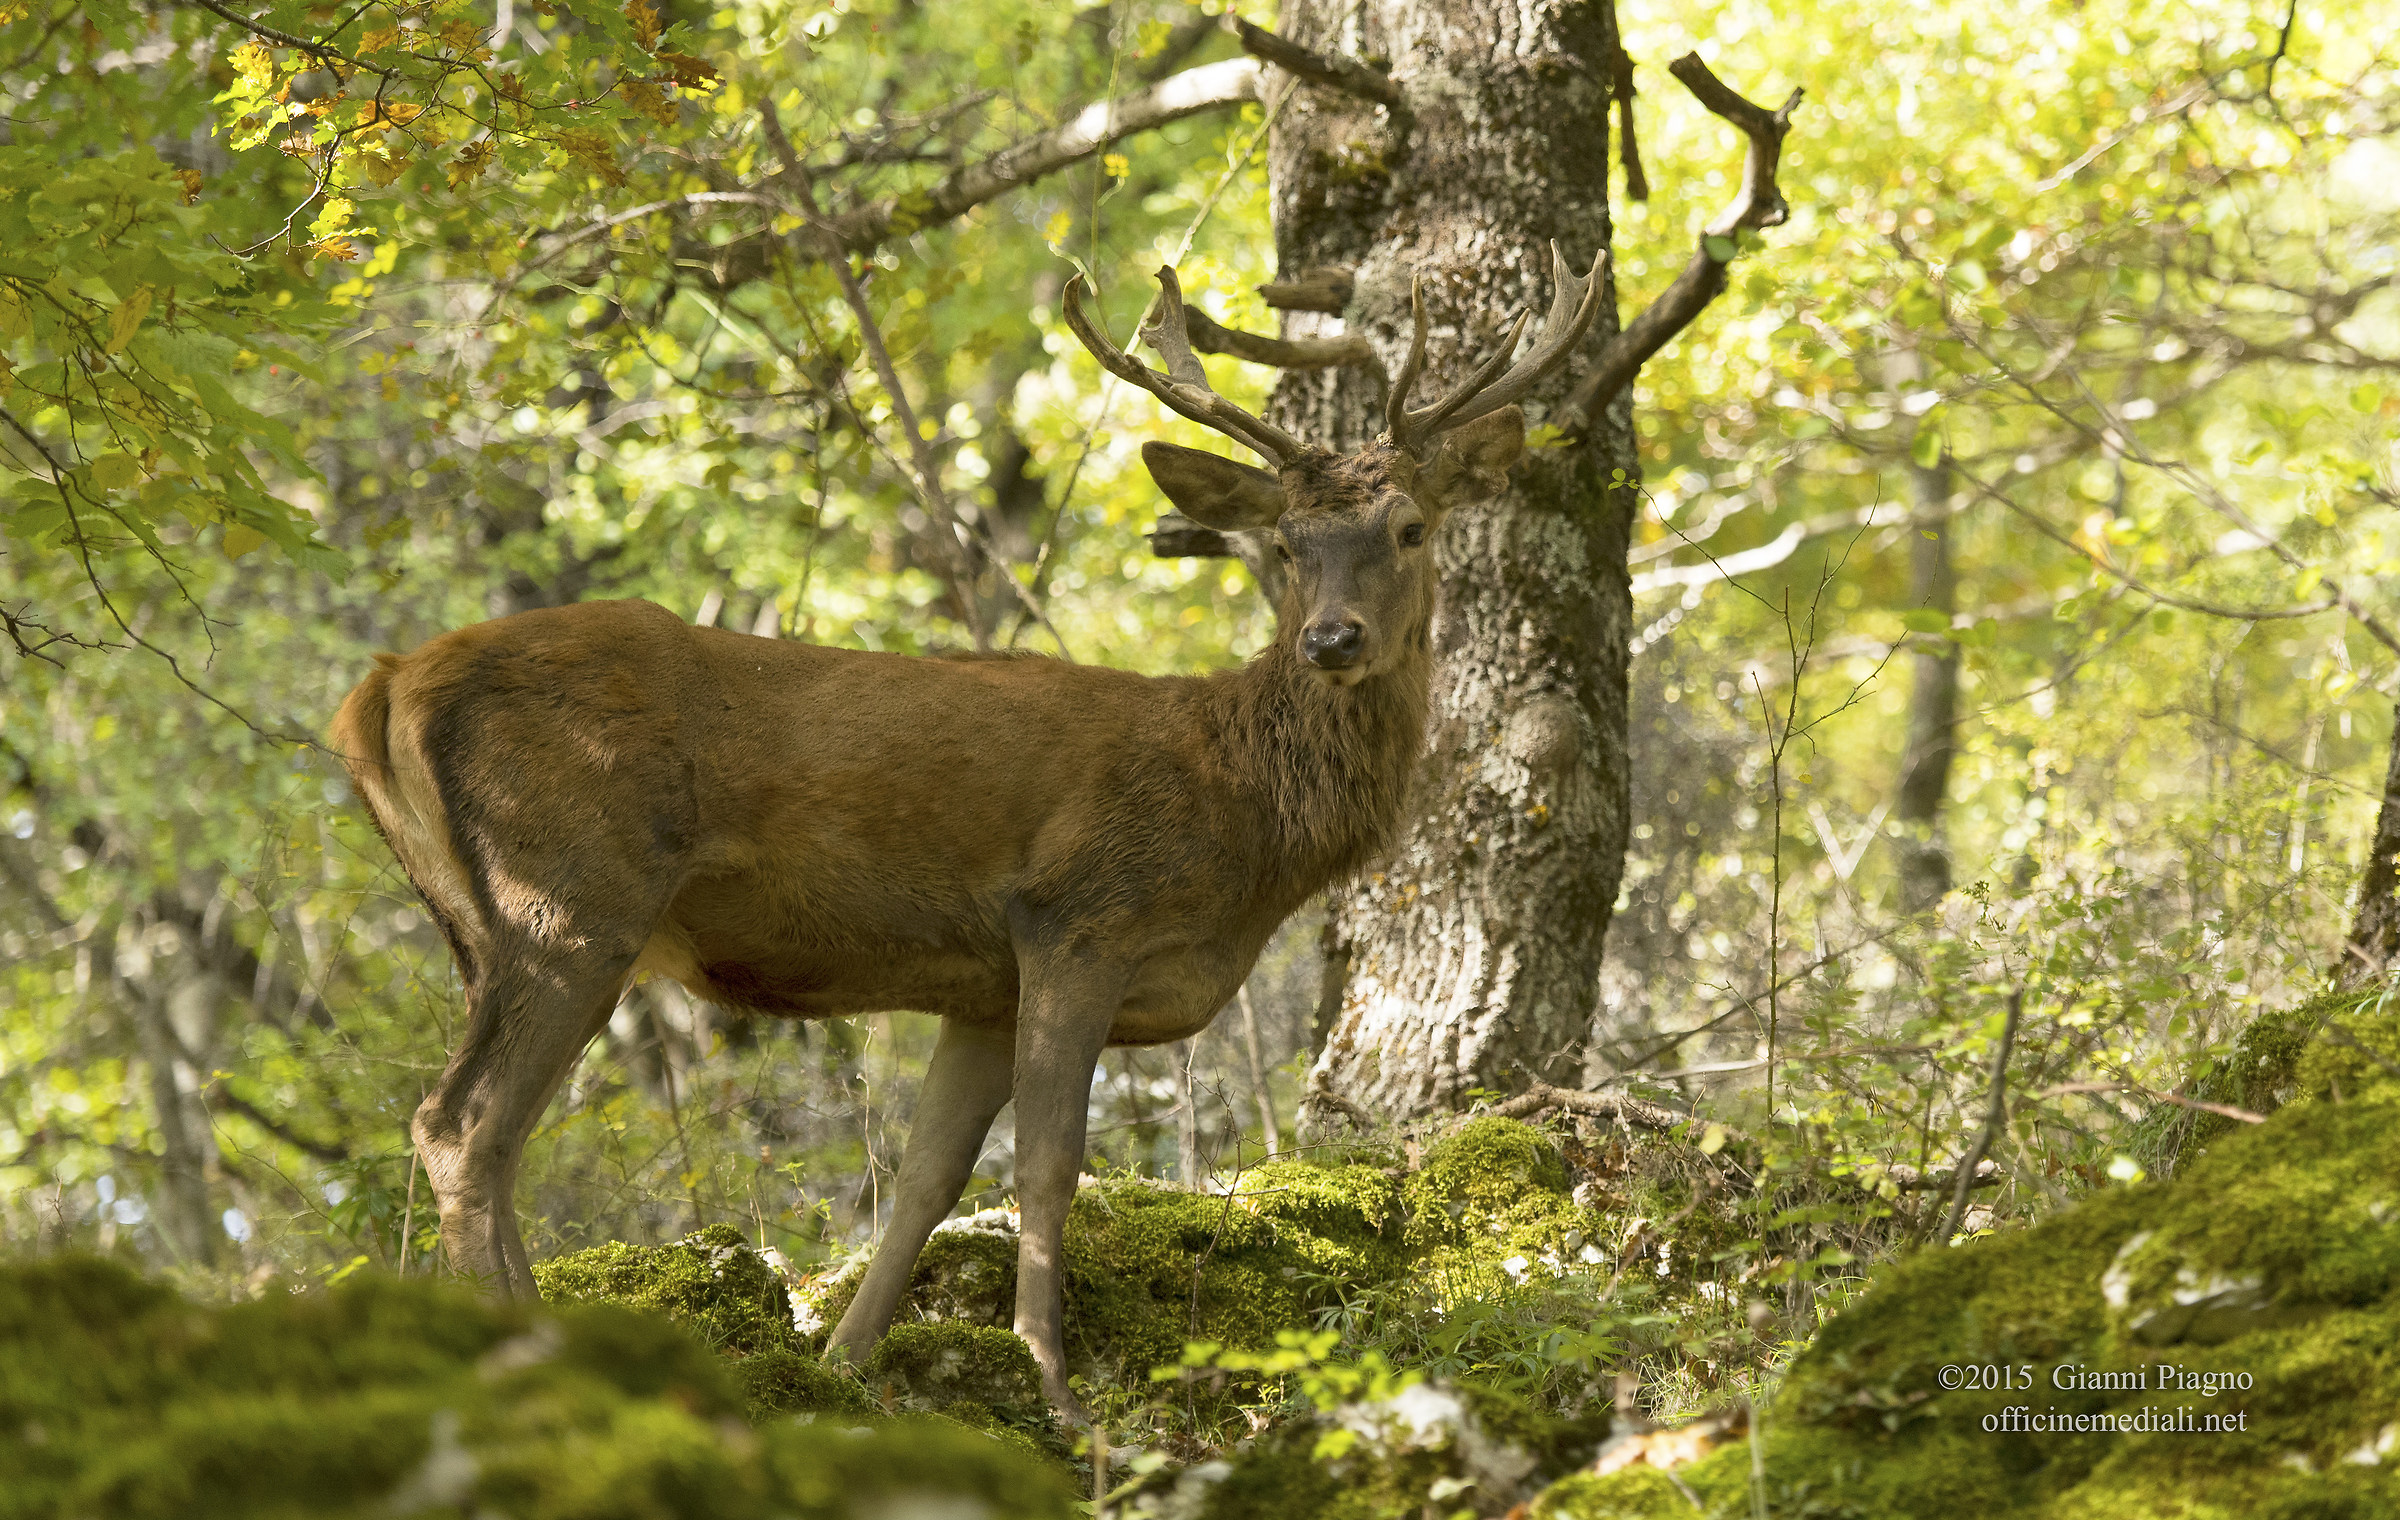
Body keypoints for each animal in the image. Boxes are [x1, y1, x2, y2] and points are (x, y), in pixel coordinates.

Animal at [327, 244, 1602, 1420]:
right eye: (1285, 541)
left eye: (1410, 526)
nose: (1331, 639)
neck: (1239, 822)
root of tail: (385, 683)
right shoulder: (1078, 914)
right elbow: (1047, 1165)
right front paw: (1053, 1384)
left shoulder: (981, 985)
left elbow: (928, 1179)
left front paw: (844, 1363)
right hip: (570, 891)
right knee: (463, 1124)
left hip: (487, 921)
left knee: (479, 1127)